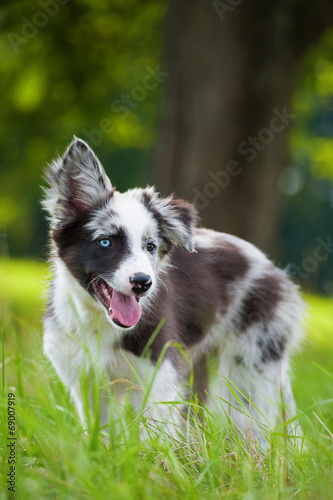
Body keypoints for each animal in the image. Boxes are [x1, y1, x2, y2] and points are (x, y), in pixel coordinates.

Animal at [42, 138, 304, 446]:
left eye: (150, 246)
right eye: (105, 242)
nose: (142, 282)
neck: (100, 325)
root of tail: (276, 272)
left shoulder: (160, 376)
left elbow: (156, 440)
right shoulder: (87, 382)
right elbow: (100, 435)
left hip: (252, 365)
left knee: (256, 428)